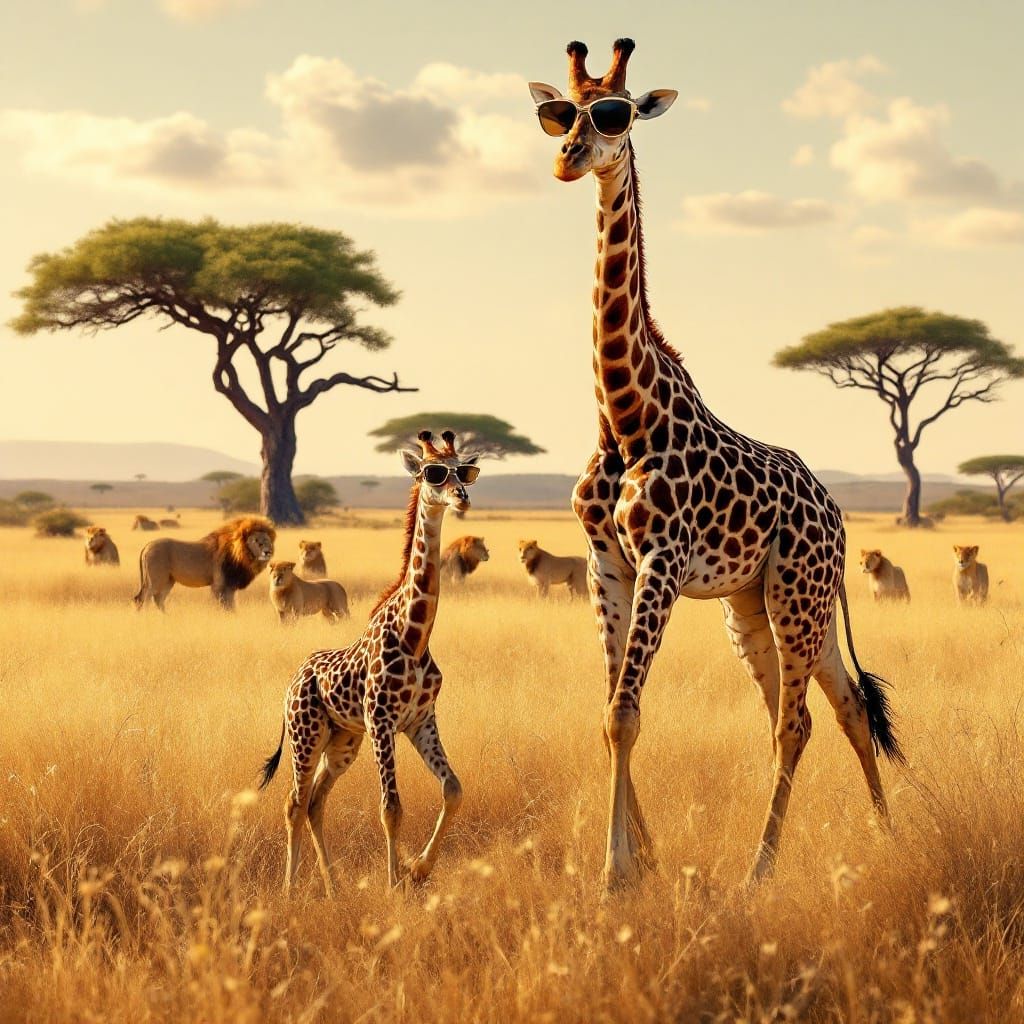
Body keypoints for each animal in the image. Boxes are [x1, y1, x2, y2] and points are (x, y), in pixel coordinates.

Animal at [259, 430, 480, 893]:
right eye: (432, 473)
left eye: (465, 470)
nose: (461, 497)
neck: (415, 636)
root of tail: (291, 681)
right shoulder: (381, 721)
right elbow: (391, 807)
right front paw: (394, 884)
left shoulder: (421, 720)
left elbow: (453, 789)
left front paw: (418, 870)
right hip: (306, 735)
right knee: (294, 802)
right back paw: (290, 889)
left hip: (342, 741)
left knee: (316, 802)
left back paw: (332, 887)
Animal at [529, 39, 905, 890]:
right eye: (562, 113)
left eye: (617, 113)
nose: (569, 158)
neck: (623, 415)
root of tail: (835, 512)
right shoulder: (607, 564)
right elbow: (609, 710)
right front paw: (645, 862)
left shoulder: (662, 560)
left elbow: (624, 713)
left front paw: (616, 873)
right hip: (756, 602)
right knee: (832, 710)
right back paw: (886, 836)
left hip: (798, 592)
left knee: (798, 722)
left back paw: (760, 871)